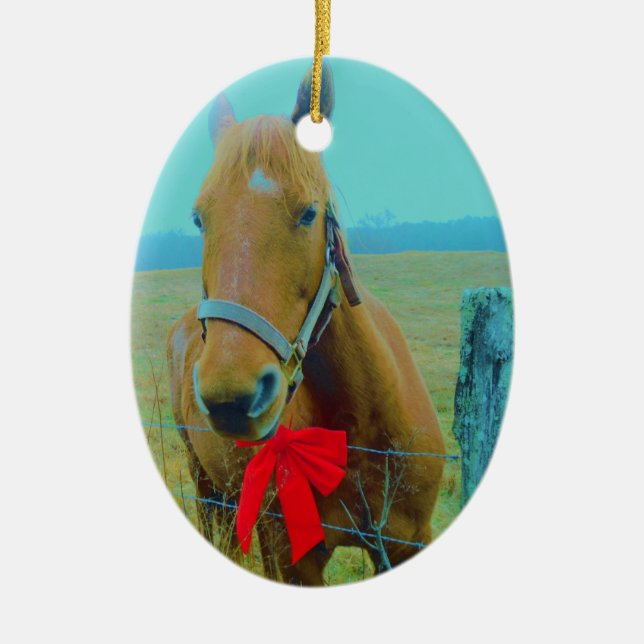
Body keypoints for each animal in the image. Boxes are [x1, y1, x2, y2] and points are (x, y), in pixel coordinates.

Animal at [167, 64, 445, 585]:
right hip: (208, 488)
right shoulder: (293, 558)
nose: (232, 398)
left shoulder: (406, 541)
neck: (358, 425)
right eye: (198, 219)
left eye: (309, 213)